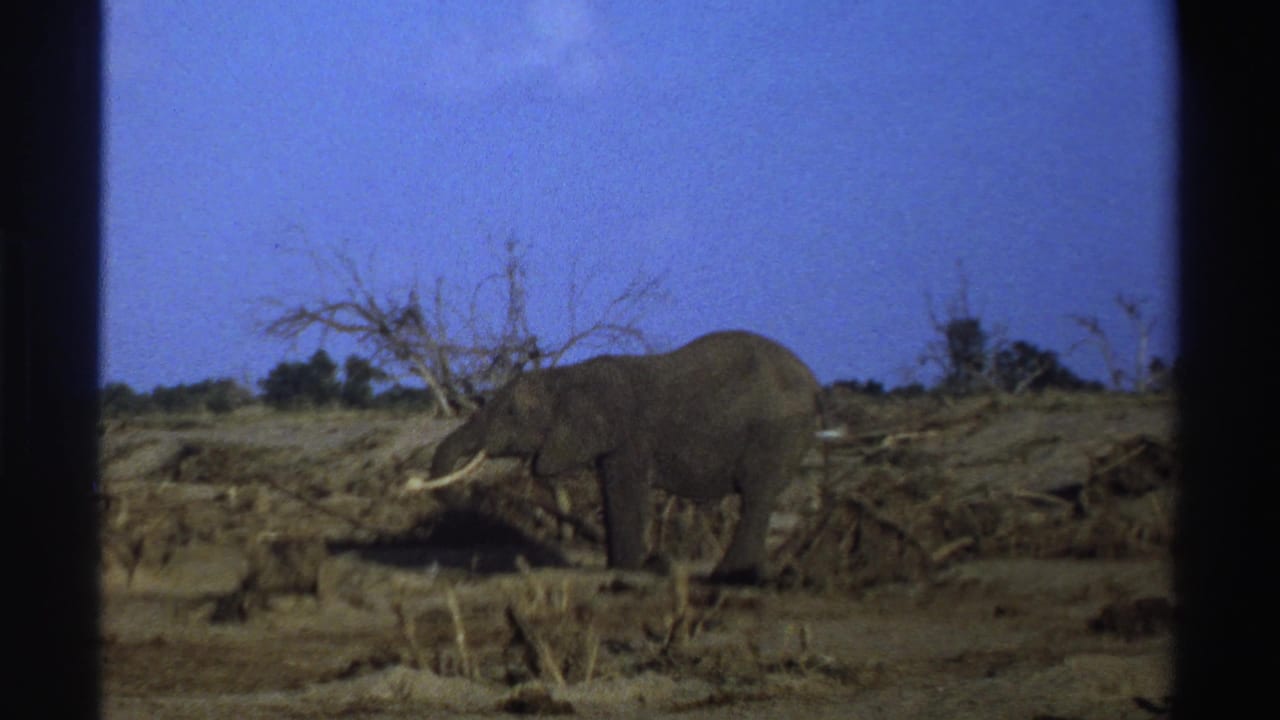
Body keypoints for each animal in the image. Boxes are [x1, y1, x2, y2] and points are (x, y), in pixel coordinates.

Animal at [427, 330, 823, 584]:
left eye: (511, 413)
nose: (471, 504)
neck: (569, 375)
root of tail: (814, 384)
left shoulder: (630, 437)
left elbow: (625, 490)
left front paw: (628, 569)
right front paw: (629, 565)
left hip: (776, 430)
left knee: (756, 494)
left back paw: (729, 576)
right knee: (760, 497)